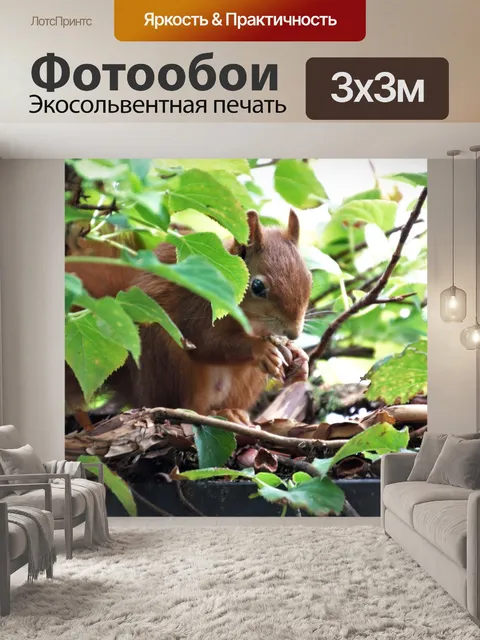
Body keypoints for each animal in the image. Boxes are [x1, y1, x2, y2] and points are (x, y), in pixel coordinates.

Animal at [66, 210, 312, 424]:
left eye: (309, 278)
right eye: (258, 286)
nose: (294, 332)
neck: (248, 322)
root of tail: (138, 391)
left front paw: (299, 359)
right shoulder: (198, 305)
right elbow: (205, 344)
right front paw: (262, 349)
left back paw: (233, 412)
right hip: (169, 362)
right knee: (187, 405)